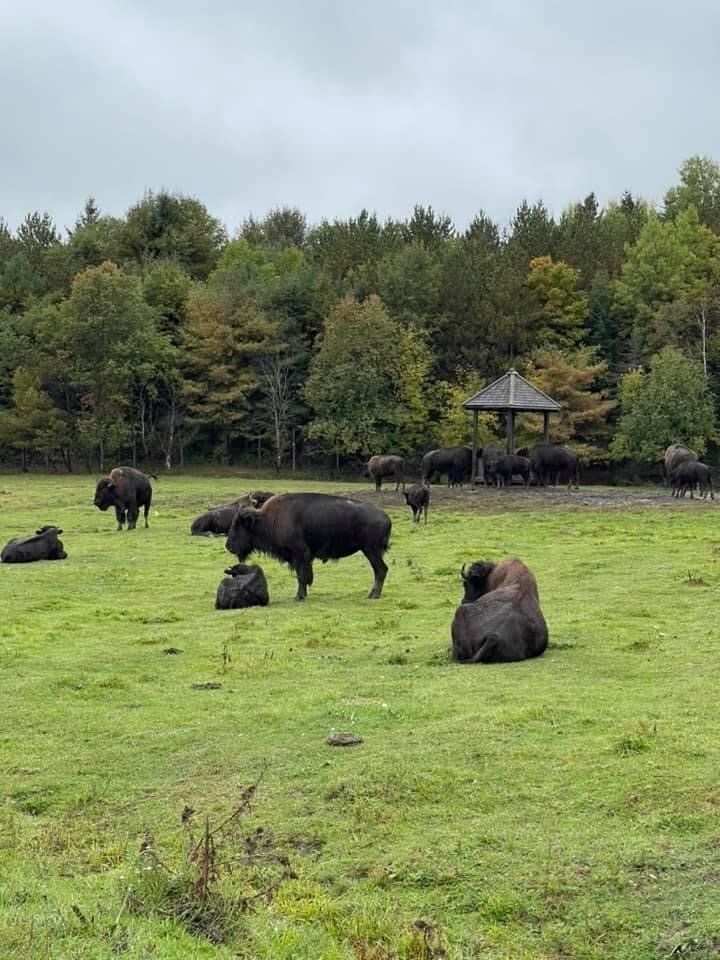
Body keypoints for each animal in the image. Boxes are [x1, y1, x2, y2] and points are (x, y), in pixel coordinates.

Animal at [225, 493, 391, 601]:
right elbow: (304, 576)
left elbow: (301, 576)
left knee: (381, 570)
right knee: (380, 570)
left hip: (371, 551)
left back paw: (373, 595)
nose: (228, 546)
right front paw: (302, 595)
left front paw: (298, 597)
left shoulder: (299, 555)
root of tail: (386, 518)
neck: (267, 519)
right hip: (372, 551)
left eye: (238, 526)